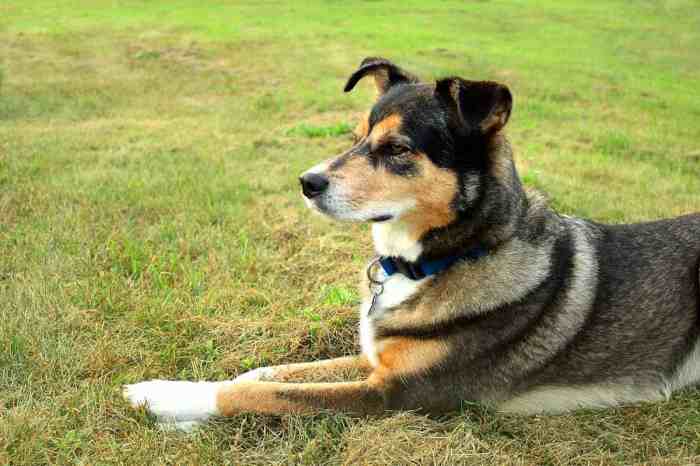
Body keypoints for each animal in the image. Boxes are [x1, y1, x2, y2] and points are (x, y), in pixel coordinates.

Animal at [124, 57, 700, 430]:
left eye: (398, 149)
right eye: (356, 135)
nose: (307, 182)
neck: (447, 257)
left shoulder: (395, 394)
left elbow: (260, 393)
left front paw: (165, 396)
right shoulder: (380, 361)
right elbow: (278, 373)